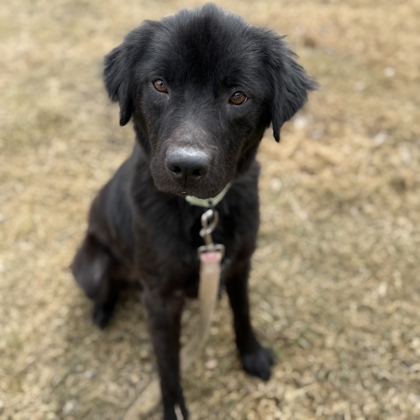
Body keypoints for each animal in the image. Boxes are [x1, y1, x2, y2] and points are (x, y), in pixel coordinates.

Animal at [71, 4, 317, 419]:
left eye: (238, 96)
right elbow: (168, 365)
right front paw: (174, 409)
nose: (186, 167)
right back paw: (102, 312)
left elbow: (242, 312)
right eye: (159, 85)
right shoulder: (160, 298)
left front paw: (251, 355)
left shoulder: (238, 263)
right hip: (93, 267)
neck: (202, 214)